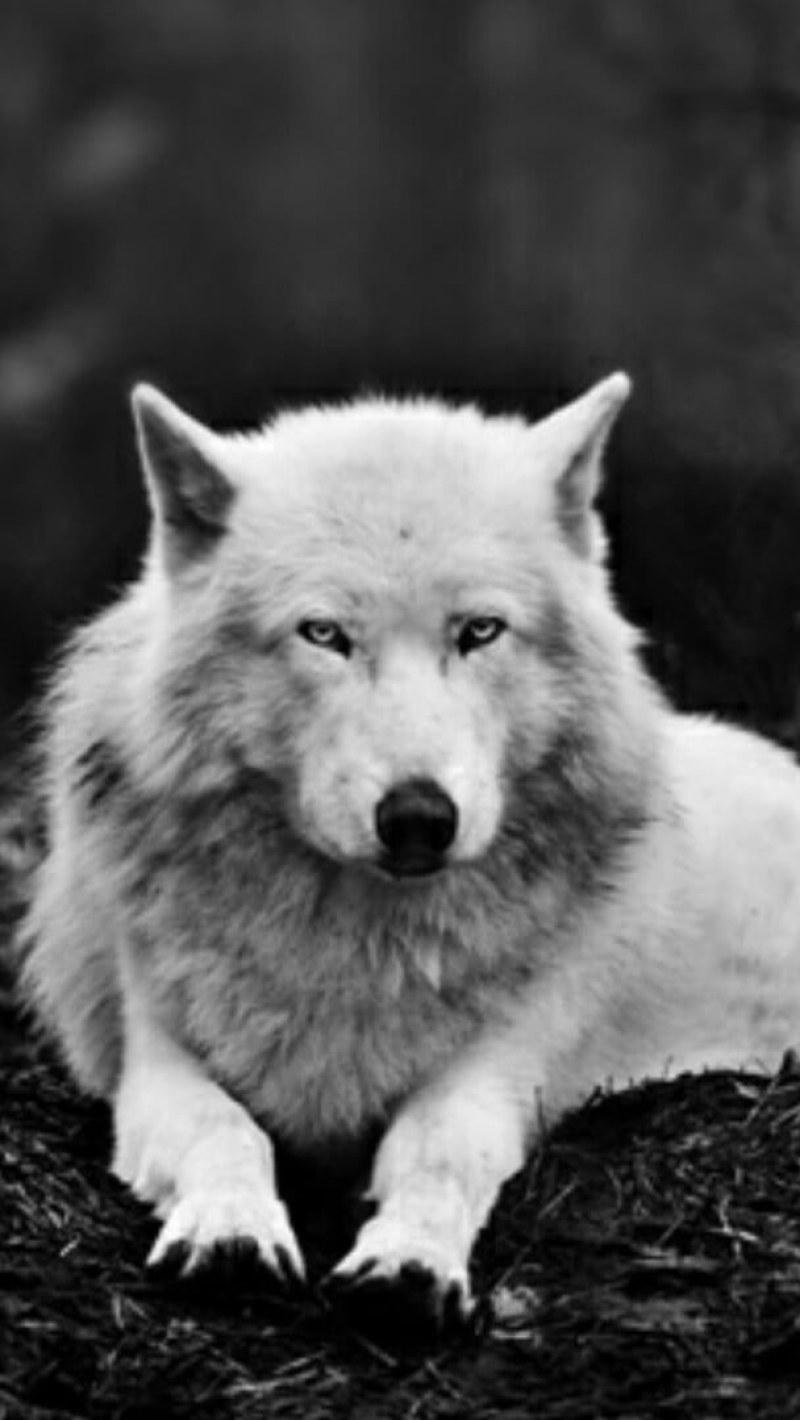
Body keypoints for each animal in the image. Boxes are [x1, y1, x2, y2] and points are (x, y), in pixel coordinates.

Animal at [20, 373, 800, 1330]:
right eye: (323, 634)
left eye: (480, 631)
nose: (421, 816)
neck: (355, 940)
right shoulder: (155, 1058)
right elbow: (224, 1129)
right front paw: (231, 1232)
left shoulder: (504, 1063)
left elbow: (439, 1149)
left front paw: (409, 1261)